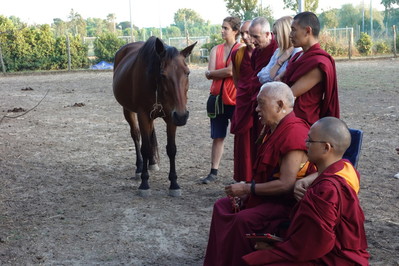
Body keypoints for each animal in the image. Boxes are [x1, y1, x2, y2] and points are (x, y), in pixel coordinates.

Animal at [112, 36, 197, 196]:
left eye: (187, 72)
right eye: (163, 75)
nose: (182, 116)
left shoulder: (171, 117)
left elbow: (171, 149)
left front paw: (174, 184)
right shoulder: (143, 115)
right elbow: (144, 147)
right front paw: (144, 184)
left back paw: (152, 162)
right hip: (128, 110)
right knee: (136, 135)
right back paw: (140, 168)